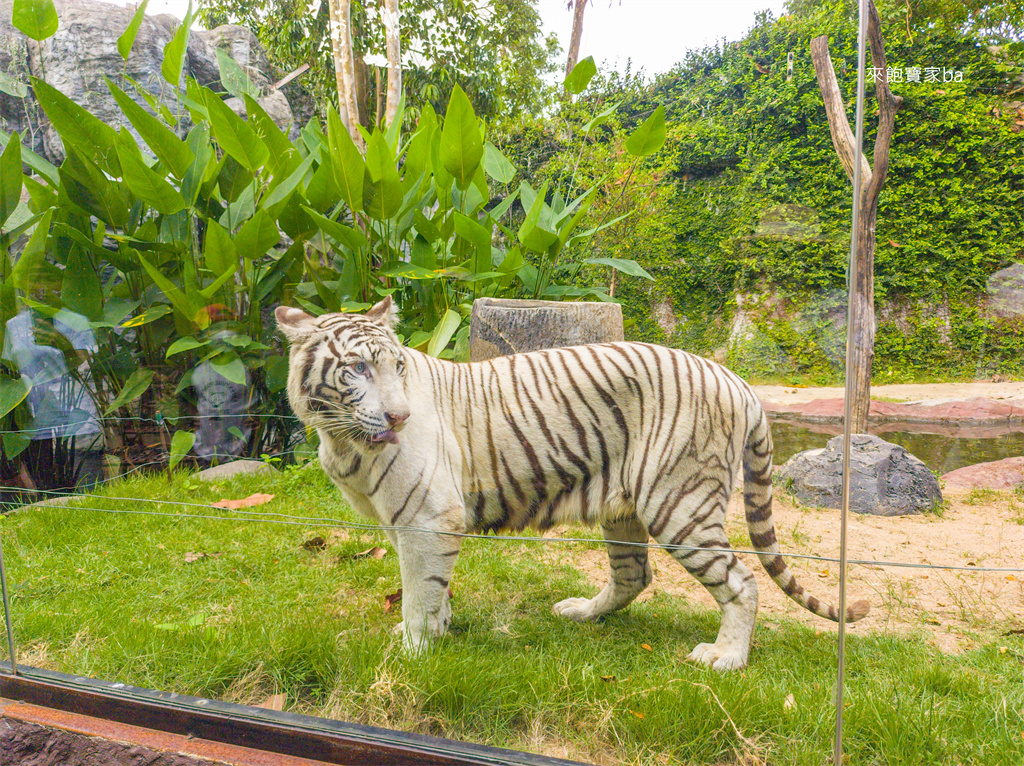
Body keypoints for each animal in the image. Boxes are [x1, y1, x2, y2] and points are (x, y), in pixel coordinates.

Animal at [276, 296, 868, 671]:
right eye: (357, 369)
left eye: (397, 366)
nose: (398, 418)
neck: (341, 437)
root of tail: (738, 381)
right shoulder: (404, 522)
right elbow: (431, 588)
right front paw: (432, 631)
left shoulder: (428, 518)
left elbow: (419, 592)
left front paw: (415, 651)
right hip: (625, 507)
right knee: (634, 575)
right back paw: (580, 612)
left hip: (679, 504)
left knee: (741, 581)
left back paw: (725, 658)